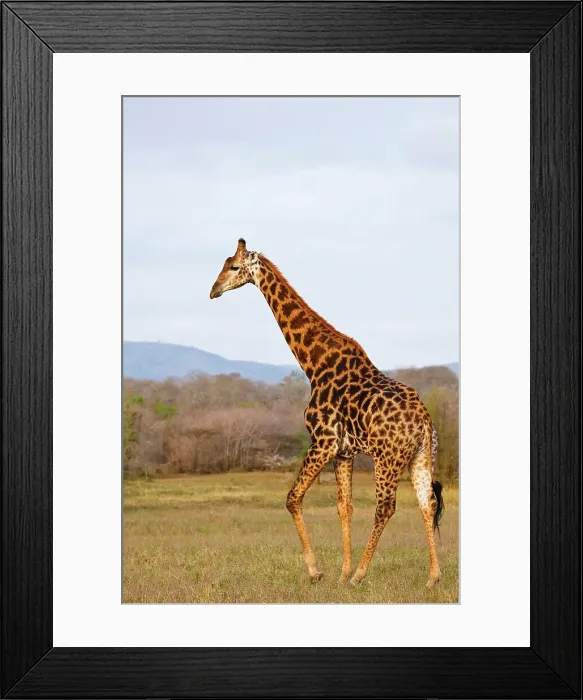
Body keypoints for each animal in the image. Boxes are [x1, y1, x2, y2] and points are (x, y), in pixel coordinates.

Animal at [210, 239, 444, 588]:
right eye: (224, 264)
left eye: (235, 267)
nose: (214, 291)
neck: (314, 364)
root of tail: (423, 423)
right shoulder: (343, 452)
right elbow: (344, 507)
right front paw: (341, 573)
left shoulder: (322, 441)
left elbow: (292, 497)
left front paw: (317, 571)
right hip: (421, 456)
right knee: (426, 502)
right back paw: (432, 577)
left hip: (387, 459)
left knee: (386, 507)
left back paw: (361, 574)